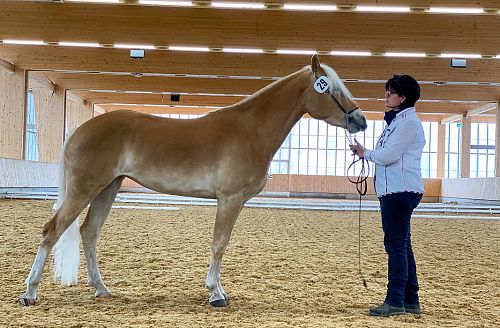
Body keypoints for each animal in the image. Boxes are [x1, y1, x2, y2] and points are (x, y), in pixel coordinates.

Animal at [18, 54, 368, 308]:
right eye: (331, 88)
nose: (361, 121)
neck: (251, 130)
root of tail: (80, 130)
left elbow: (220, 244)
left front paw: (217, 289)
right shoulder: (229, 199)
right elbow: (219, 244)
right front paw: (216, 293)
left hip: (108, 188)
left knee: (89, 233)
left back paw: (101, 289)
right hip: (84, 189)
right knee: (51, 231)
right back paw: (30, 292)